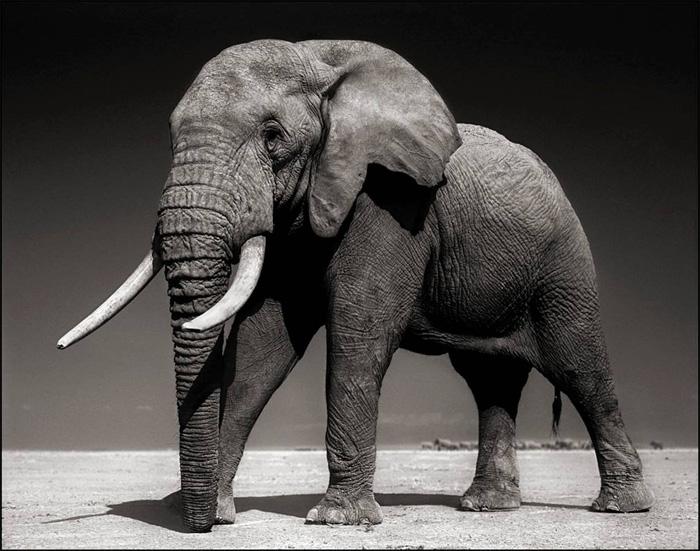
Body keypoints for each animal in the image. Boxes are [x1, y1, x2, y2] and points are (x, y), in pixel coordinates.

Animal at [57, 38, 652, 532]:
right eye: (171, 137)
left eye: (273, 138)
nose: (199, 526)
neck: (321, 65)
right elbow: (260, 349)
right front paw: (215, 511)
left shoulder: (392, 202)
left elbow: (358, 332)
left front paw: (337, 520)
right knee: (489, 381)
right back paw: (487, 506)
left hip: (563, 262)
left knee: (579, 367)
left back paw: (621, 507)